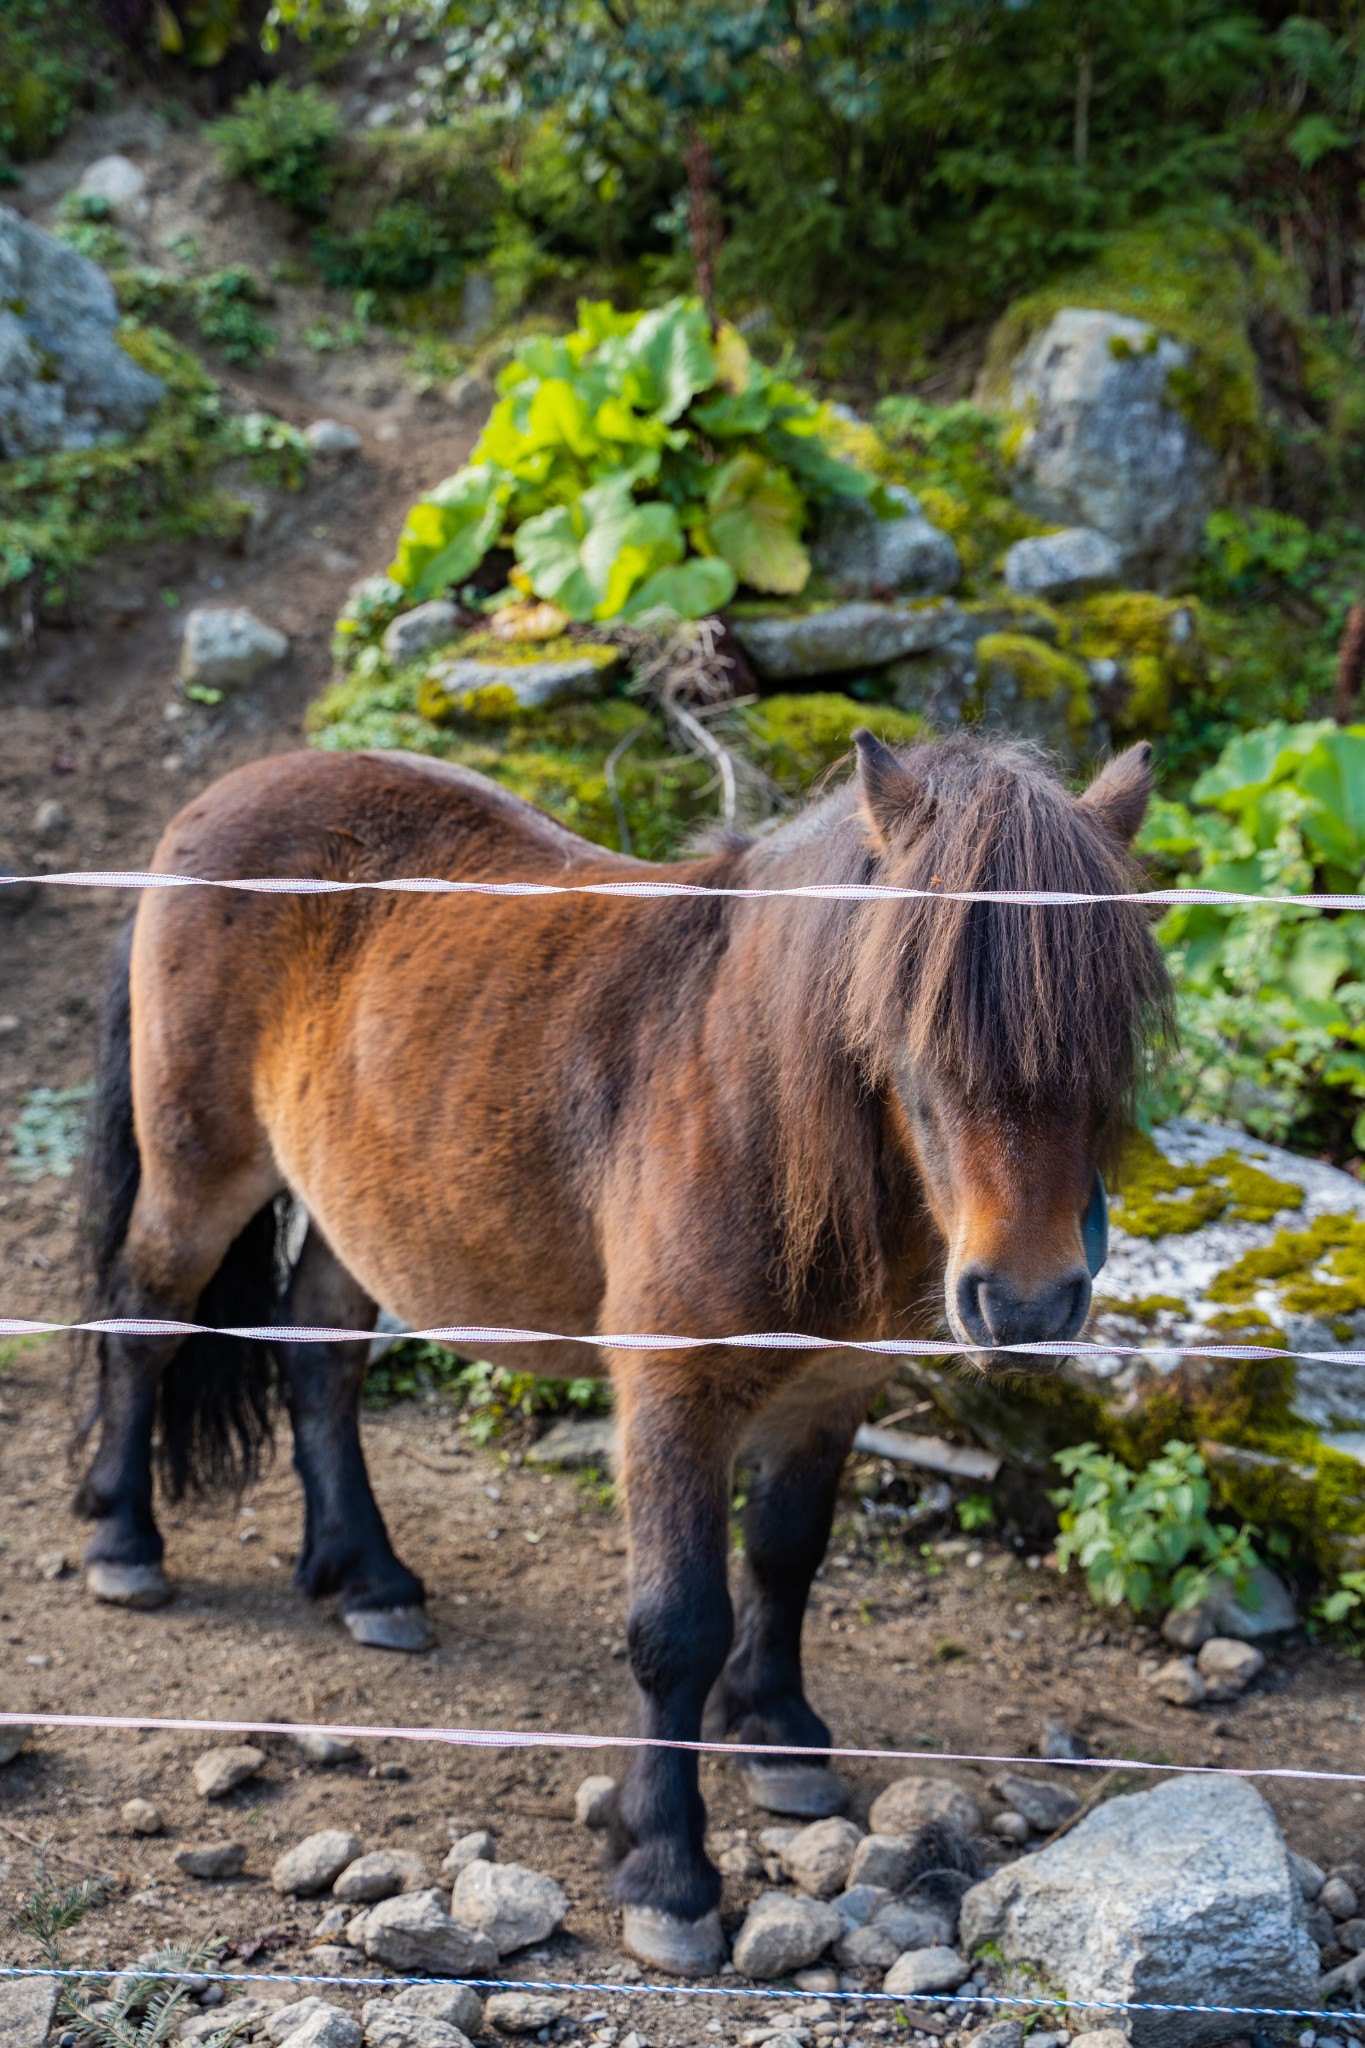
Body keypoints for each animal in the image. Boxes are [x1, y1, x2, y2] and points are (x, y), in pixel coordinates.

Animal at [74, 733, 1170, 1966]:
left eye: (1111, 1029)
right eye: (915, 1021)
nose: (1027, 1303)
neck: (755, 1099)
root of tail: (223, 794)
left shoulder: (827, 1393)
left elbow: (785, 1558)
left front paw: (778, 1733)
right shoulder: (672, 1392)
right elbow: (676, 1626)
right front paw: (668, 1875)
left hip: (356, 1203)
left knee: (320, 1356)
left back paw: (369, 1577)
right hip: (200, 1170)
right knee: (145, 1320)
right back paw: (125, 1541)